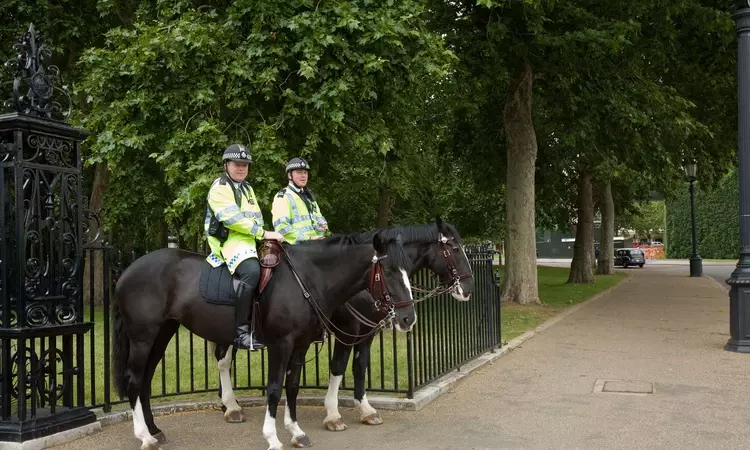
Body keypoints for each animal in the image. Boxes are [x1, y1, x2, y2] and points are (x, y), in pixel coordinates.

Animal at [111, 230, 418, 448]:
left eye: (408, 270)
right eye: (389, 271)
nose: (408, 319)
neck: (306, 280)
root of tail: (126, 272)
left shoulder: (300, 345)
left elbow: (292, 386)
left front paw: (296, 431)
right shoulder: (281, 345)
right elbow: (273, 389)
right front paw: (273, 438)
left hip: (162, 333)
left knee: (145, 381)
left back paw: (154, 430)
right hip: (142, 337)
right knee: (134, 379)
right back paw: (145, 437)